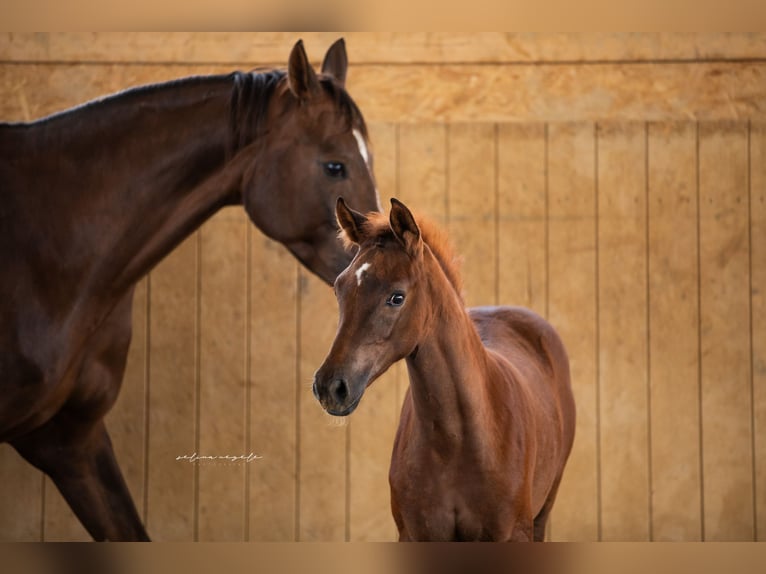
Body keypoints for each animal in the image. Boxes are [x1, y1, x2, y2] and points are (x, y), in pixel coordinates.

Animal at [314, 199, 576, 544]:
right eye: (339, 289)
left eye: (396, 297)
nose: (330, 387)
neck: (456, 441)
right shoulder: (414, 535)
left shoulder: (513, 533)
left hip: (542, 512)